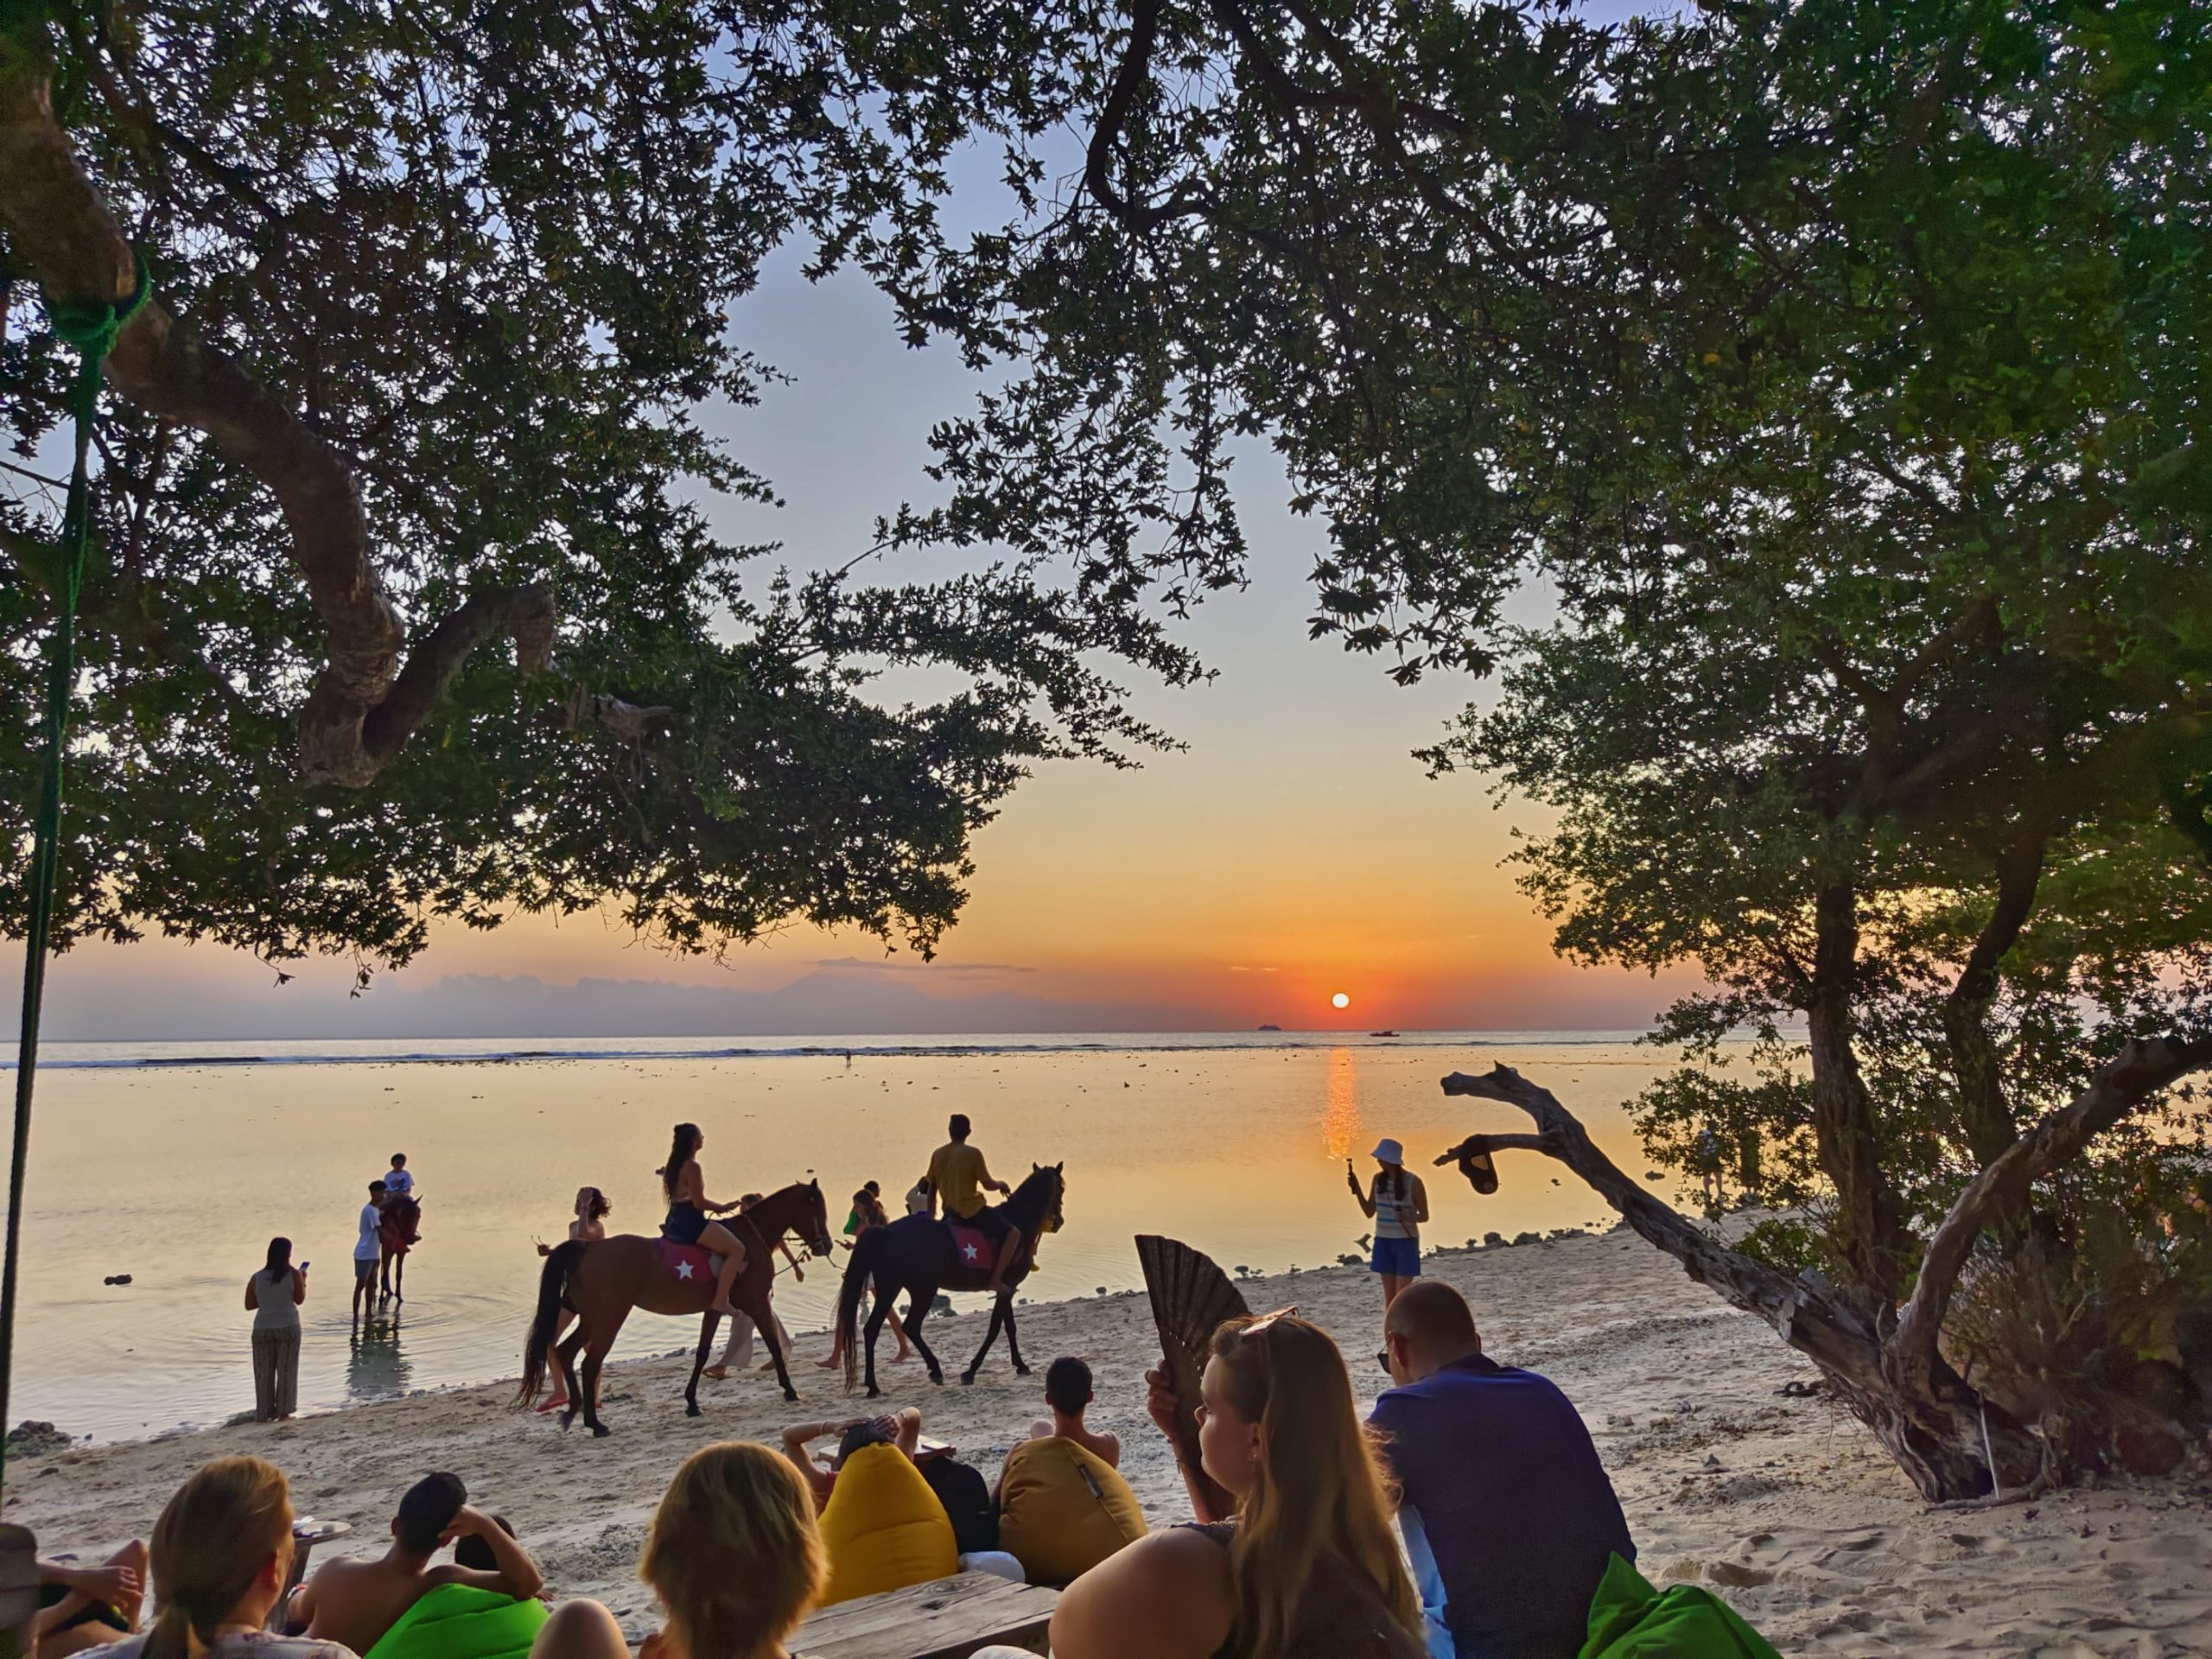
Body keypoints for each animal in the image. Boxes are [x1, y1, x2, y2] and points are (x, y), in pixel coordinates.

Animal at [512, 1176, 831, 1433]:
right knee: (590, 1363)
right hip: (608, 1319)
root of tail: (588, 1247)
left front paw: (691, 1402)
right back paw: (594, 1423)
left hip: (592, 1318)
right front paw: (790, 1389)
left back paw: (576, 1411)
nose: (825, 1245)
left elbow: (702, 1352)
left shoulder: (715, 1308)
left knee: (566, 1352)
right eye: (817, 1208)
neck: (748, 1238)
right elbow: (773, 1343)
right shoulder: (757, 1302)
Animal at [831, 1167, 1065, 1407]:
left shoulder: (1006, 1289)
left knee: (880, 1328)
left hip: (899, 1288)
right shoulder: (1007, 1287)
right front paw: (972, 1371)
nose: (1059, 1221)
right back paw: (913, 1375)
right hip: (918, 1290)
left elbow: (1008, 1327)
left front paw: (1019, 1365)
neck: (1018, 1219)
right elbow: (995, 1329)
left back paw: (886, 1382)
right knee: (903, 1326)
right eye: (1061, 1188)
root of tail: (884, 1232)